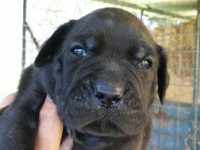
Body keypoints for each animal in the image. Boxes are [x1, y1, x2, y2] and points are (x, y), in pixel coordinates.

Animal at [0, 7, 169, 149]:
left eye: (145, 63)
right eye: (78, 51)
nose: (109, 94)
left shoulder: (130, 138)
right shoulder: (24, 106)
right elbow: (15, 136)